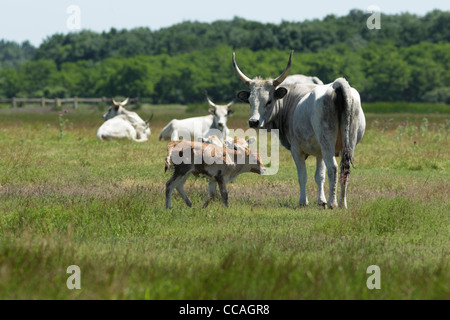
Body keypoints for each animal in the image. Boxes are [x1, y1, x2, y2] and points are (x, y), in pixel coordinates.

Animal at [232, 51, 366, 209]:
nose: (253, 121)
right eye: (250, 101)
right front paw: (321, 201)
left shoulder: (297, 150)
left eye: (269, 101)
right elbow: (319, 175)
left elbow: (303, 175)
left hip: (327, 141)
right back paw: (342, 203)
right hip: (349, 142)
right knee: (345, 168)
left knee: (333, 168)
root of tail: (337, 85)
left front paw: (304, 201)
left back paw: (333, 203)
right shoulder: (319, 152)